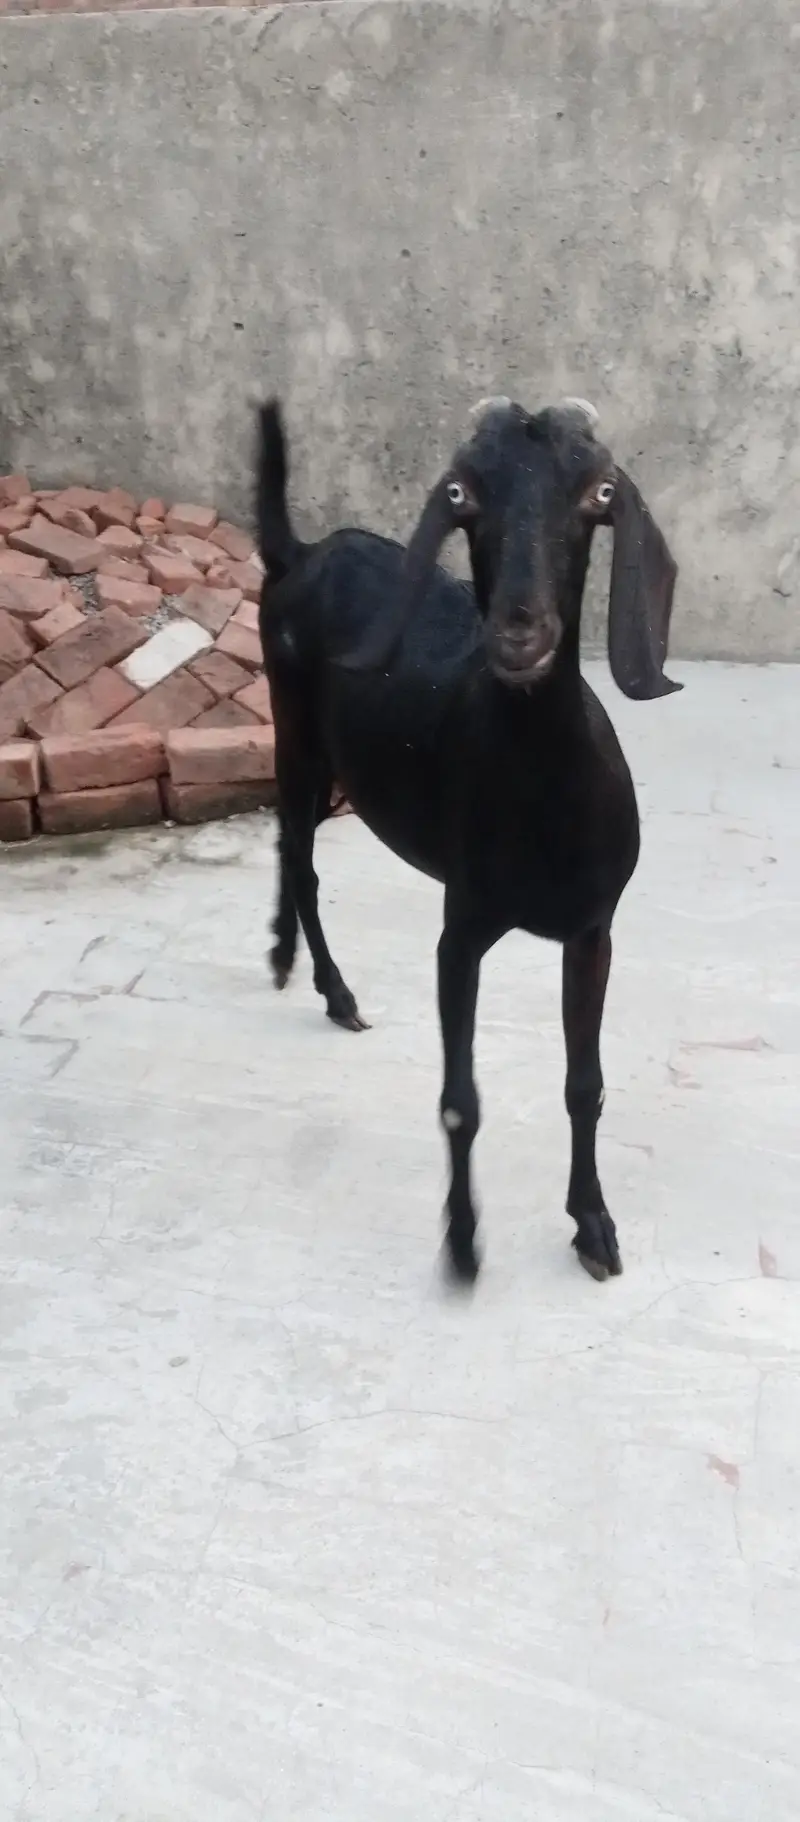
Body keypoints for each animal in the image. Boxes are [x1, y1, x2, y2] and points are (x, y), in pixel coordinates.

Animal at [256, 394, 680, 1285]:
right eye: (461, 496)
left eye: (597, 496)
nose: (519, 633)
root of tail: (300, 553)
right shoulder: (462, 930)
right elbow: (460, 1100)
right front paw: (460, 1239)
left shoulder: (593, 931)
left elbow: (583, 1083)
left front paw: (593, 1225)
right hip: (294, 727)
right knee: (300, 859)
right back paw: (333, 990)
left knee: (289, 847)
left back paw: (283, 956)